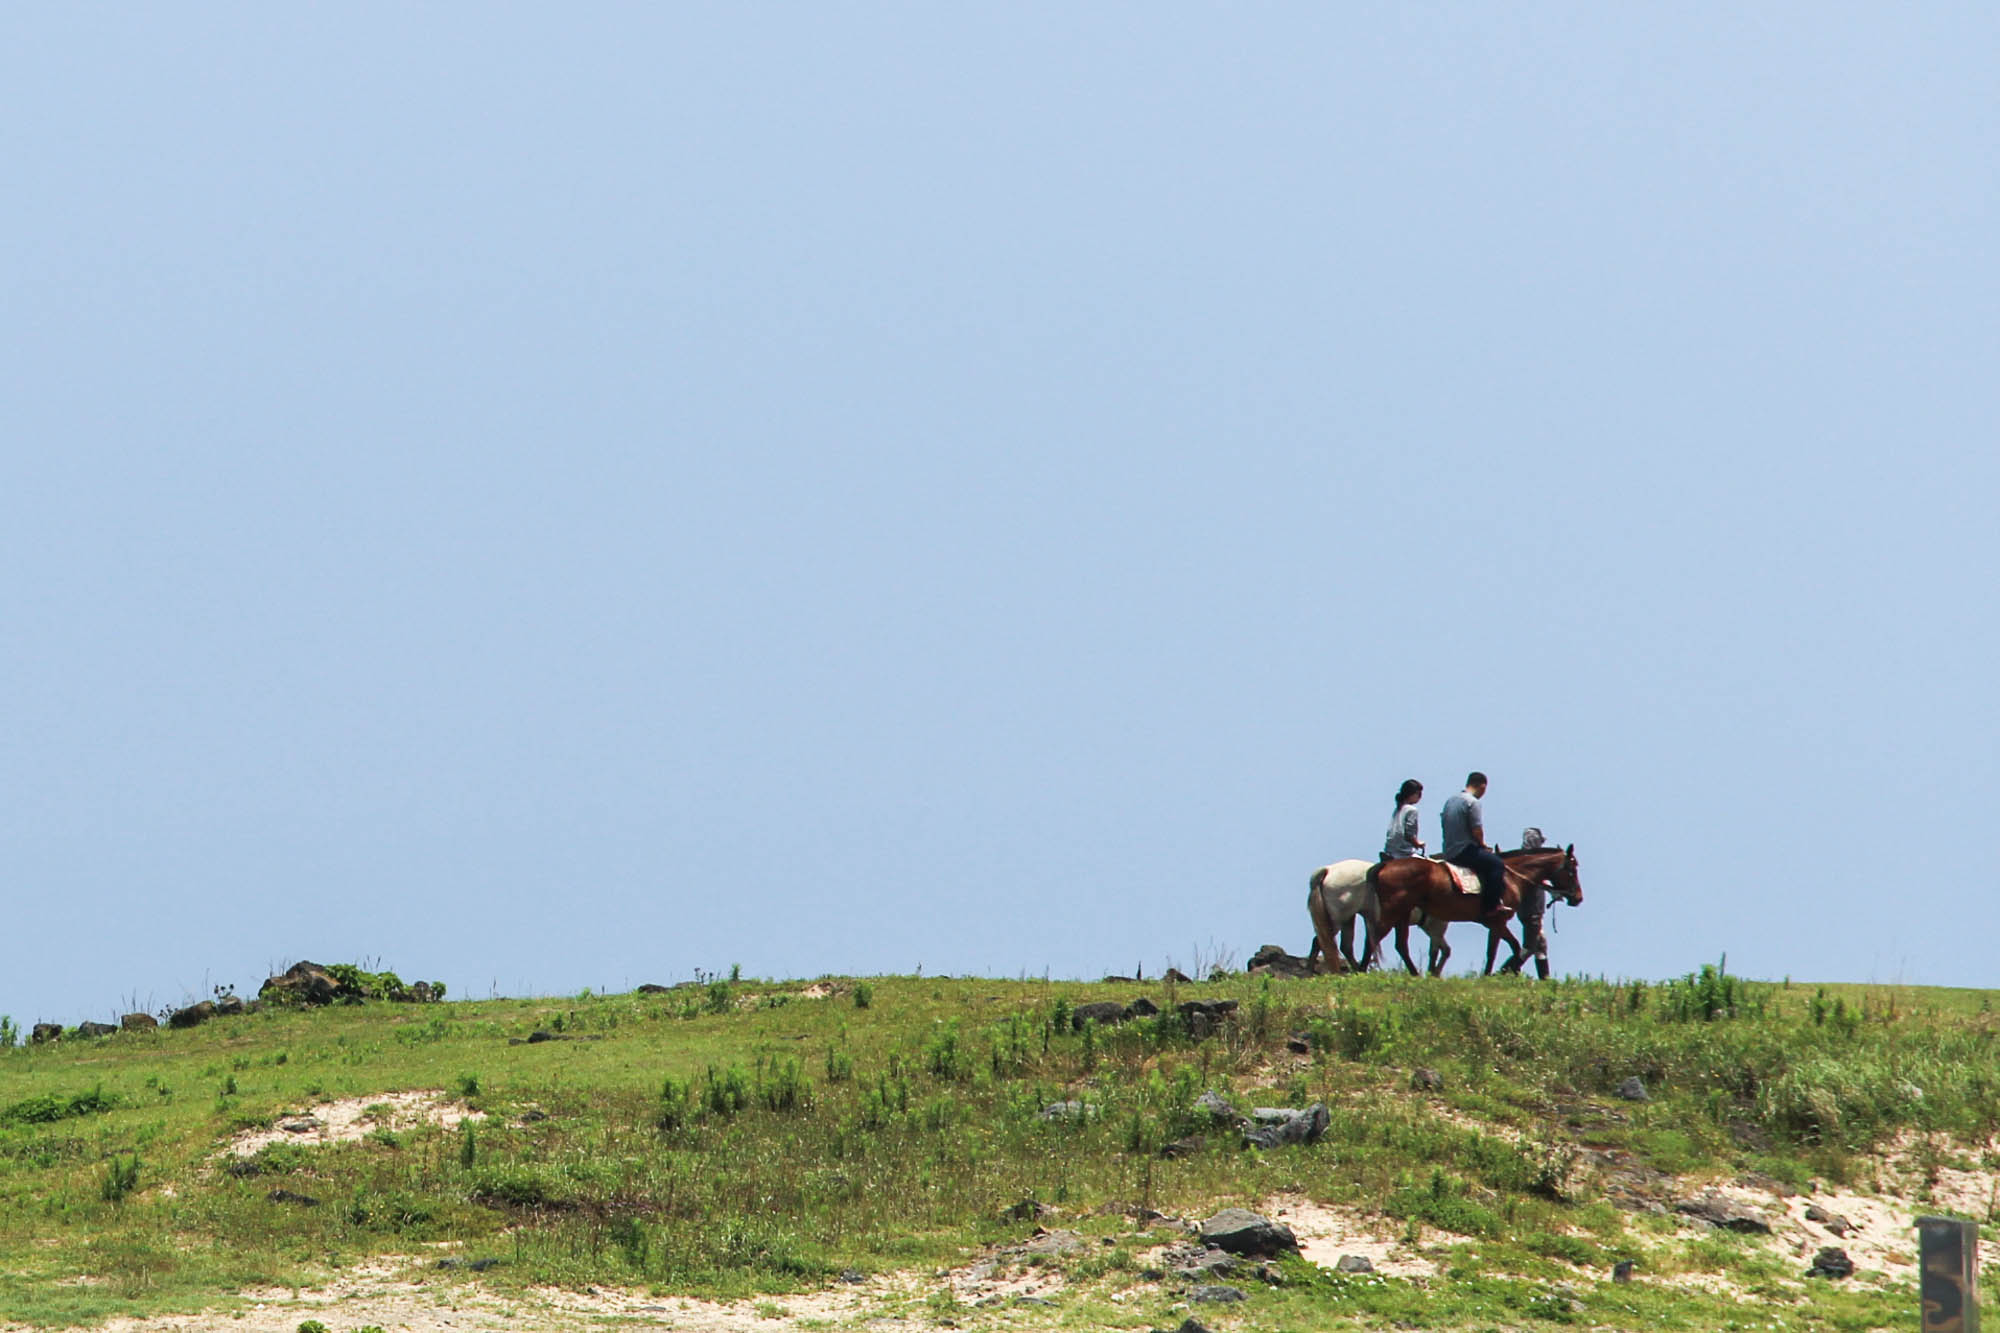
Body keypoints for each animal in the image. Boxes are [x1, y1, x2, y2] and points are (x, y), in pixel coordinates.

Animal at [1368, 844, 1584, 972]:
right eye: (1572, 870)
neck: (1511, 877)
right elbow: (1514, 947)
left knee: (1399, 945)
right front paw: (1506, 972)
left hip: (1402, 914)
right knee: (1374, 939)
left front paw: (1489, 974)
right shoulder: (1498, 921)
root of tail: (1384, 866)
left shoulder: (1493, 924)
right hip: (1393, 912)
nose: (1578, 898)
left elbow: (1492, 952)